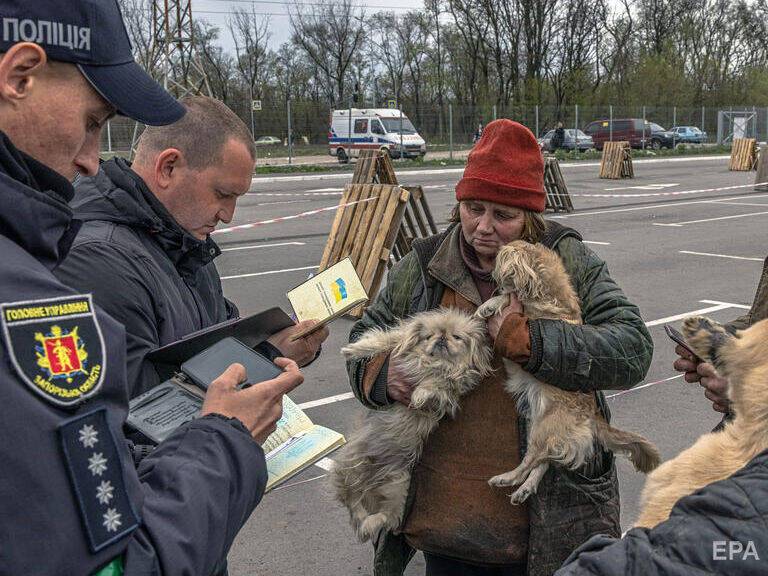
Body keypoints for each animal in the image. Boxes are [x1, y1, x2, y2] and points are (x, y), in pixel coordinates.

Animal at [334, 308, 492, 544]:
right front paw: (353, 350)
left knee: (387, 515)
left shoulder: (451, 386)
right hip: (351, 467)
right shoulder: (396, 345)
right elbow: (380, 339)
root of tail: (373, 478)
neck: (429, 361)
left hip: (400, 484)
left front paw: (420, 393)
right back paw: (364, 522)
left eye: (456, 337)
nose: (442, 338)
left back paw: (369, 524)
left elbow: (437, 384)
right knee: (352, 500)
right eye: (429, 336)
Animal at [474, 241, 660, 502]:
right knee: (543, 463)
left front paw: (488, 305)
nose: (491, 273)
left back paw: (505, 479)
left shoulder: (528, 317)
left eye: (500, 260)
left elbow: (509, 299)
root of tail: (592, 417)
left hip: (542, 430)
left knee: (531, 462)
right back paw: (525, 489)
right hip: (540, 427)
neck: (544, 290)